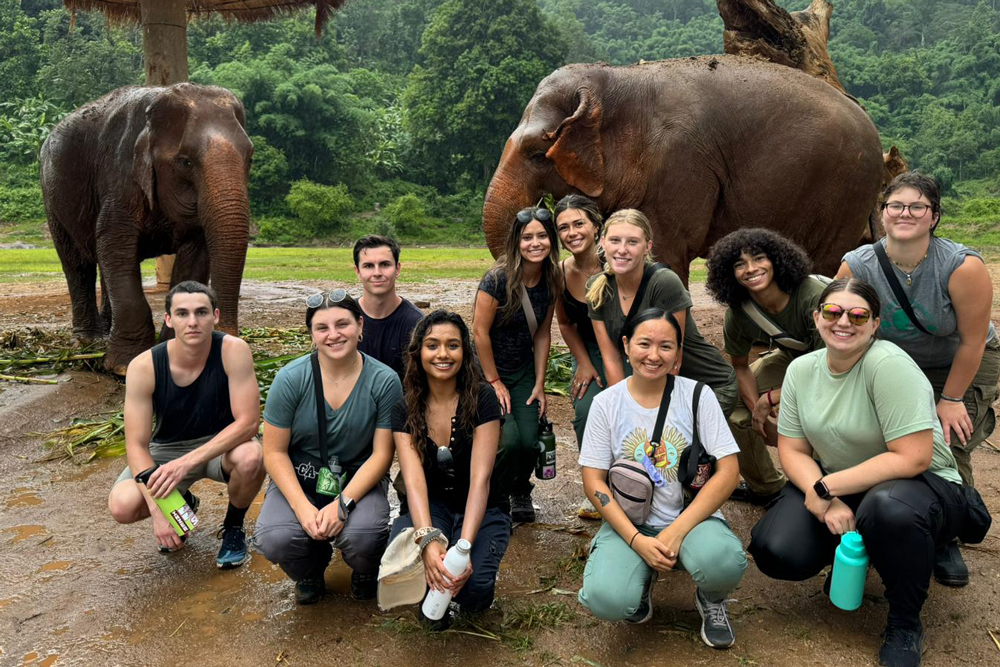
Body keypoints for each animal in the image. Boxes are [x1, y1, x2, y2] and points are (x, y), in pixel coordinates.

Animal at [42, 83, 254, 374]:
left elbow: (196, 256)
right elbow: (115, 245)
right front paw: (124, 365)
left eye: (250, 158)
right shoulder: (120, 177)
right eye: (185, 162)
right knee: (77, 265)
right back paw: (88, 341)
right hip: (52, 199)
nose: (229, 340)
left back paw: (105, 333)